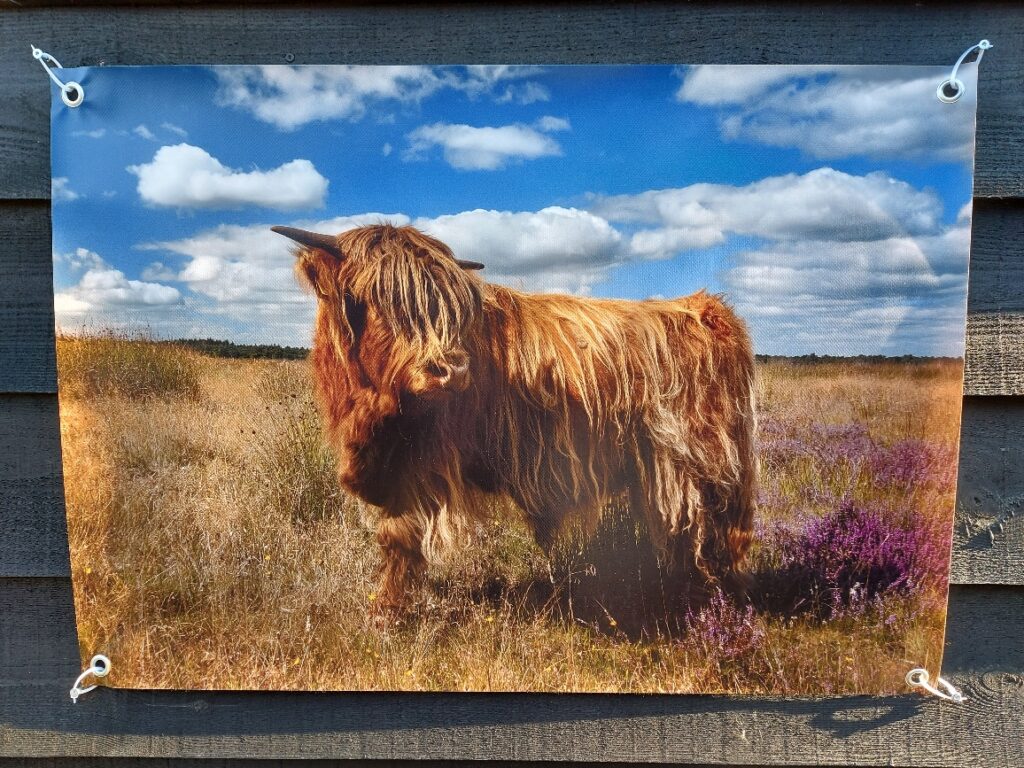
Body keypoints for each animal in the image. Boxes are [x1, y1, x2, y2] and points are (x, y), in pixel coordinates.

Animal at [274, 222, 761, 614]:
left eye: (452, 308)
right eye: (376, 298)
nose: (452, 369)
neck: (371, 409)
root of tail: (707, 307)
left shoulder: (416, 466)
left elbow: (399, 540)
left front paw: (388, 613)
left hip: (705, 464)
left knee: (717, 534)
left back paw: (714, 606)